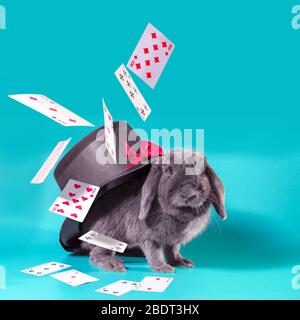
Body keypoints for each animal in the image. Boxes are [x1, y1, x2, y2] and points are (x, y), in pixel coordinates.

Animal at [78, 150, 226, 272]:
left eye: (201, 172)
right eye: (168, 171)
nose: (188, 195)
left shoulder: (173, 241)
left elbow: (173, 250)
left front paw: (181, 262)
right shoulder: (147, 237)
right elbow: (153, 252)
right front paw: (162, 268)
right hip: (110, 232)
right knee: (96, 253)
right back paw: (114, 264)